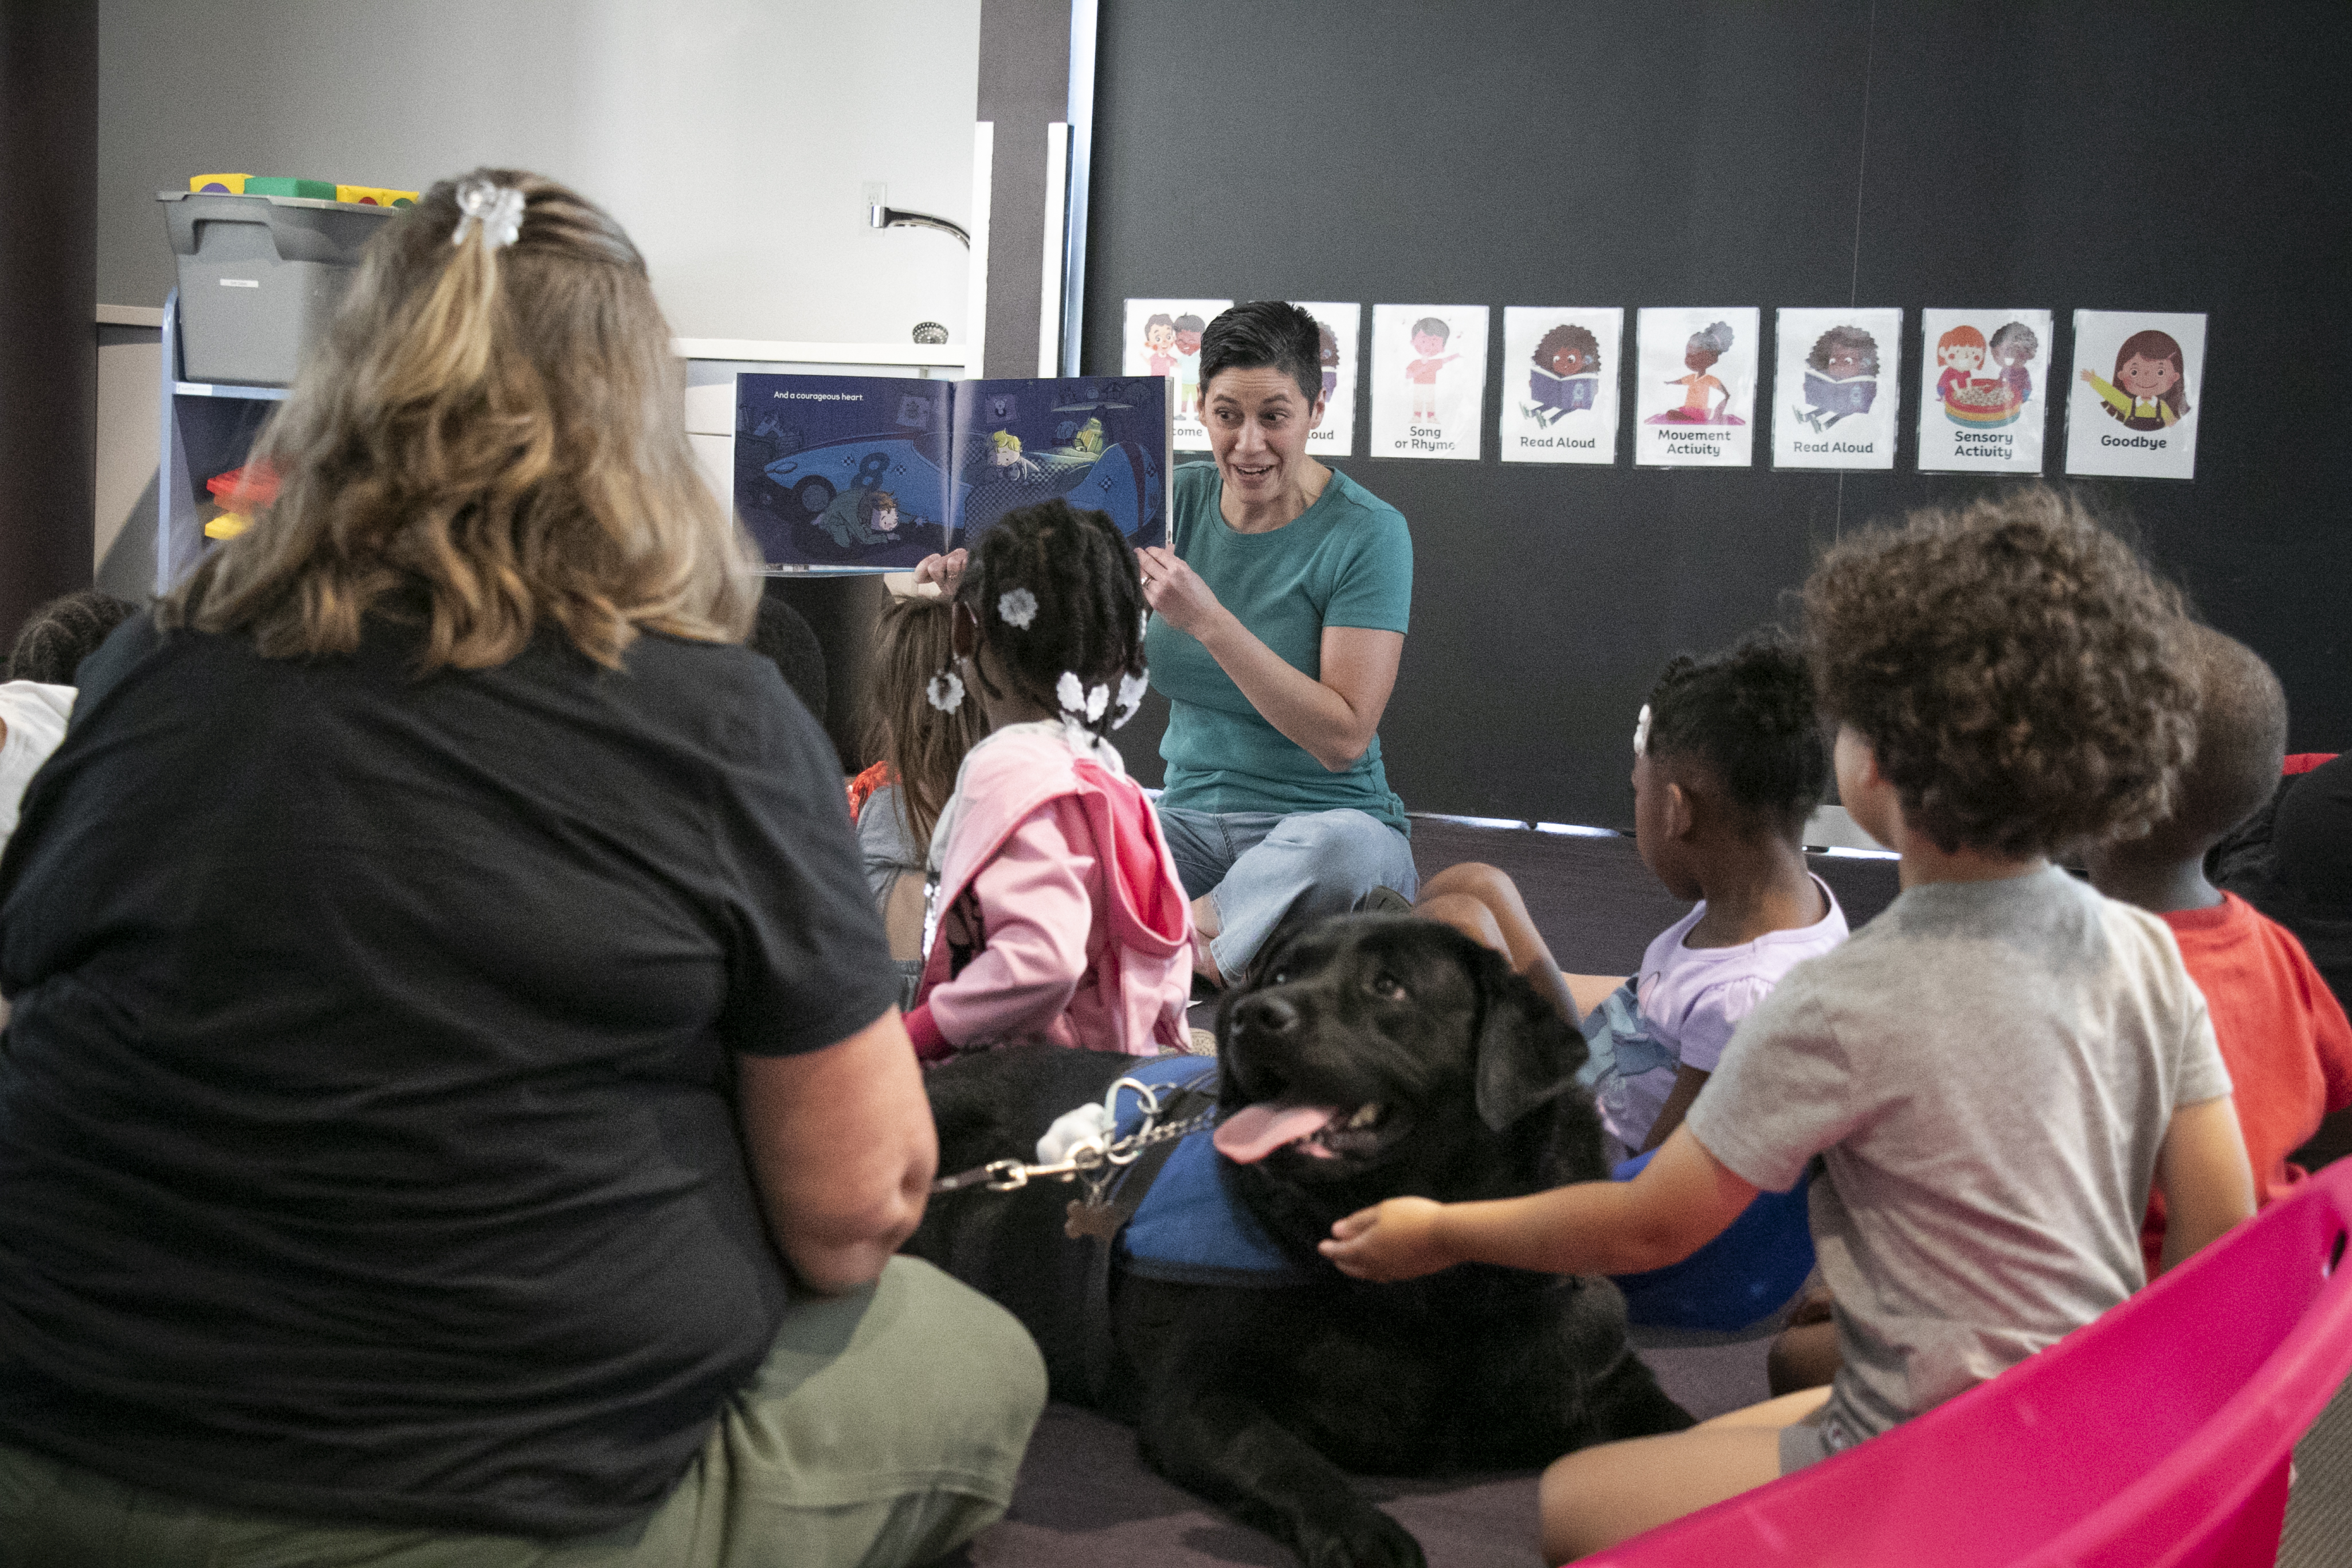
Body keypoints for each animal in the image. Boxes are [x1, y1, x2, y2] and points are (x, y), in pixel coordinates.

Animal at [898, 921, 1693, 1568]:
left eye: (1388, 985)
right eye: (1279, 975)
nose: (1251, 1015)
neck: (1424, 1286)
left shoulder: (1596, 1364)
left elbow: (1681, 1433)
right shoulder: (1198, 1400)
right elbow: (1284, 1457)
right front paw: (1363, 1532)